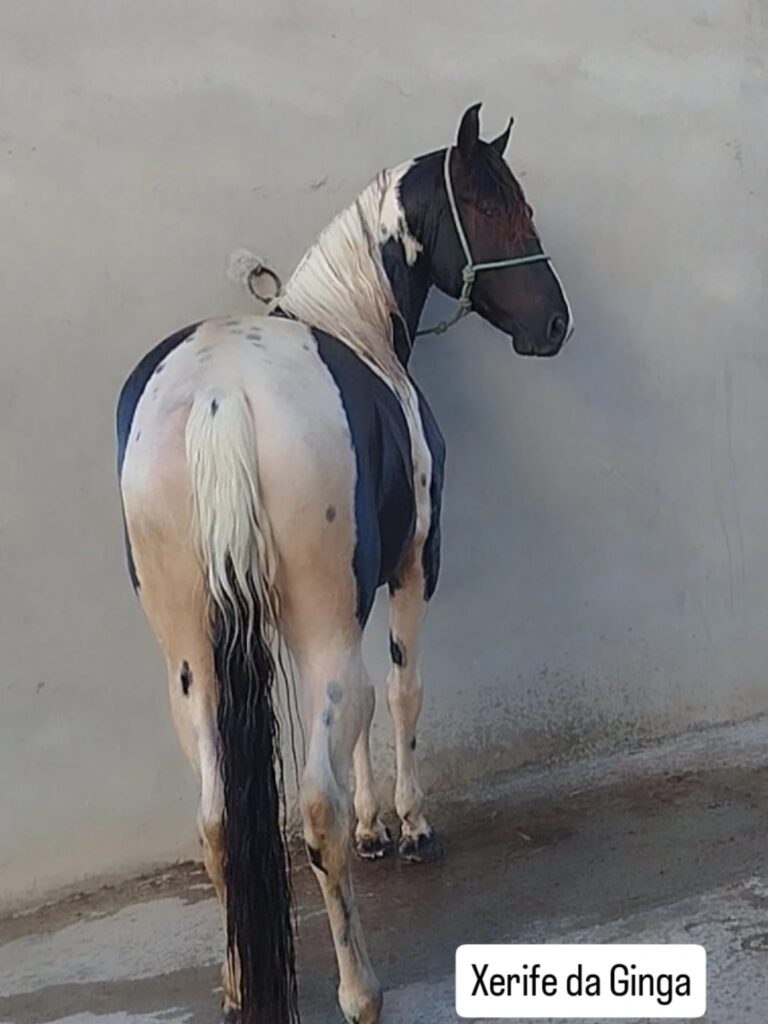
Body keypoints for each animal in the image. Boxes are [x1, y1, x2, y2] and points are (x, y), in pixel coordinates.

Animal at [116, 103, 572, 1024]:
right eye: (497, 204)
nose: (553, 324)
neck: (352, 324)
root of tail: (219, 394)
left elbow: (356, 716)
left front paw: (375, 827)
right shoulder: (413, 565)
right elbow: (399, 693)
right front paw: (408, 825)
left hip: (192, 661)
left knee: (218, 821)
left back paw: (237, 986)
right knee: (313, 806)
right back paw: (361, 988)